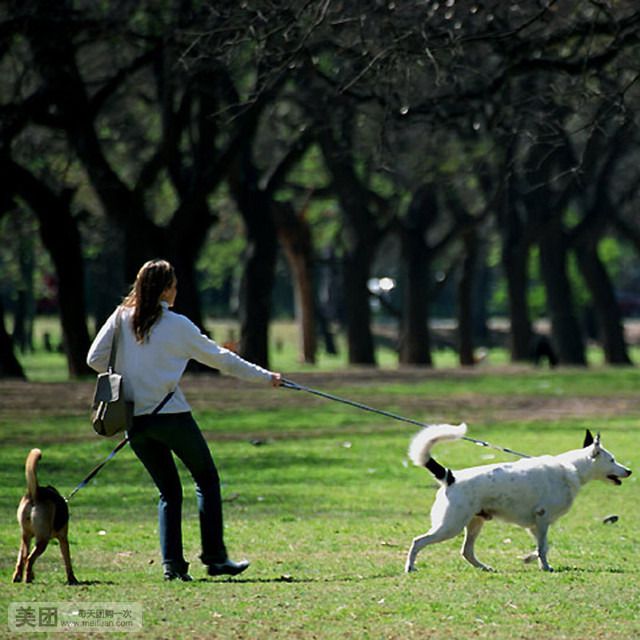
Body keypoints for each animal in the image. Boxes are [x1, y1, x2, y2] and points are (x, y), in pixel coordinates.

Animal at [13, 450, 79, 584]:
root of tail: (35, 494)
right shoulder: (63, 539)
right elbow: (67, 560)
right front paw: (72, 579)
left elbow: (20, 558)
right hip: (43, 540)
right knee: (29, 559)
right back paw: (27, 578)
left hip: (26, 536)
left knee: (23, 557)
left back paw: (19, 577)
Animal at [404, 422, 632, 572]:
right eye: (612, 460)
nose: (629, 471)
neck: (571, 468)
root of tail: (450, 477)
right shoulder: (542, 519)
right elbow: (543, 547)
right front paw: (544, 566)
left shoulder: (536, 524)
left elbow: (543, 546)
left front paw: (532, 559)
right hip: (450, 526)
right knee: (418, 541)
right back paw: (410, 567)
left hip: (474, 523)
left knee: (466, 551)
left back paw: (484, 568)